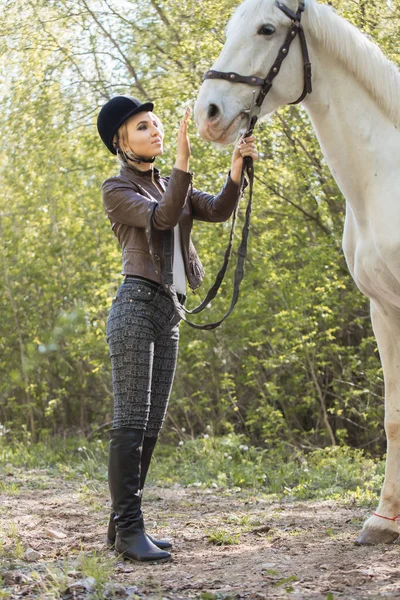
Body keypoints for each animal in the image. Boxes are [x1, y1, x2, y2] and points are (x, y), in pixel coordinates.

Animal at [195, 0, 400, 548]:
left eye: (267, 29)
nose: (207, 114)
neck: (386, 178)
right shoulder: (383, 310)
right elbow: (394, 416)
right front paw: (385, 519)